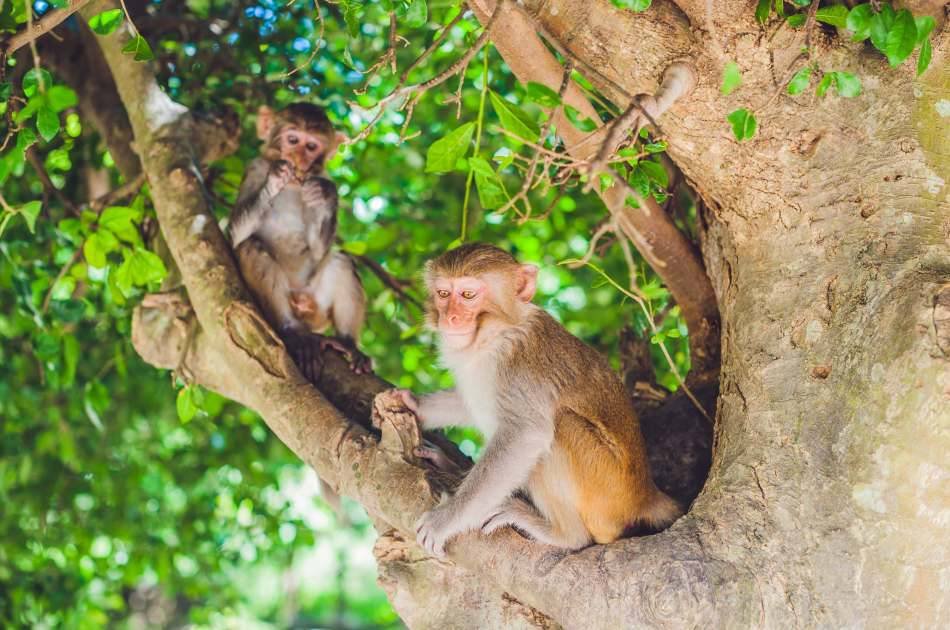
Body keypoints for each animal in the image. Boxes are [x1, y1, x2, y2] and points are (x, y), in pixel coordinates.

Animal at [229, 103, 371, 375]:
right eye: (293, 140)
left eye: (311, 146)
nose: (298, 157)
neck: (295, 185)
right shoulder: (254, 169)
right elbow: (234, 236)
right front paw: (276, 178)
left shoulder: (323, 176)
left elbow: (318, 251)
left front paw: (325, 194)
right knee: (250, 246)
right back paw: (293, 331)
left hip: (317, 309)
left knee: (342, 261)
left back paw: (348, 344)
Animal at [393, 242, 681, 557]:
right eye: (444, 294)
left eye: (468, 295)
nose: (450, 318)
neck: (496, 335)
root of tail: (646, 494)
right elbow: (470, 402)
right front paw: (413, 403)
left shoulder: (518, 369)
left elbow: (525, 434)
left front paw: (445, 520)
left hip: (606, 491)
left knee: (560, 427)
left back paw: (564, 534)